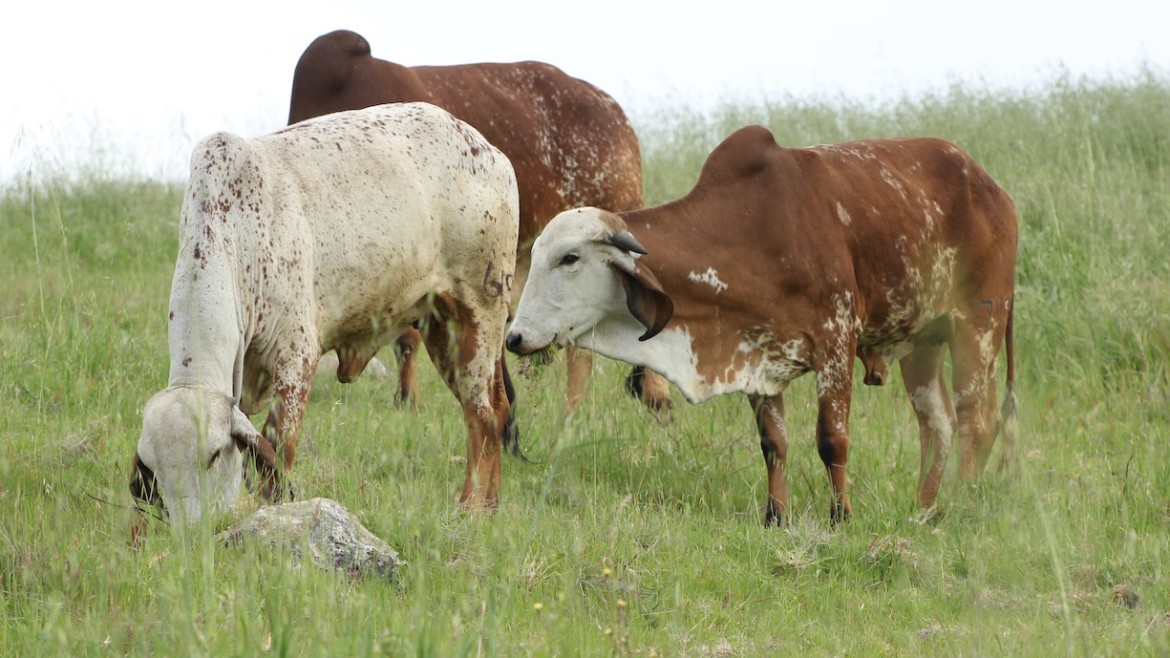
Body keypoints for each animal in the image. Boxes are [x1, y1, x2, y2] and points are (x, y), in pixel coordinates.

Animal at [124, 102, 521, 524]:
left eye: (213, 455)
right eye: (155, 470)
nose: (191, 530)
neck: (237, 234)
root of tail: (489, 151)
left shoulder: (295, 358)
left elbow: (278, 449)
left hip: (479, 312)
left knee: (483, 414)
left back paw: (470, 508)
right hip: (440, 327)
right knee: (494, 408)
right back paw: (492, 507)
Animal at [507, 122, 1020, 522]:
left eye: (569, 258)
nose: (514, 337)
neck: (752, 230)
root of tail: (992, 187)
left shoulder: (835, 340)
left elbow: (832, 439)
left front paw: (841, 517)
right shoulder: (755, 356)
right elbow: (774, 443)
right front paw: (776, 516)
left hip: (978, 326)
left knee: (977, 420)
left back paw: (957, 506)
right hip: (922, 344)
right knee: (938, 424)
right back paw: (924, 511)